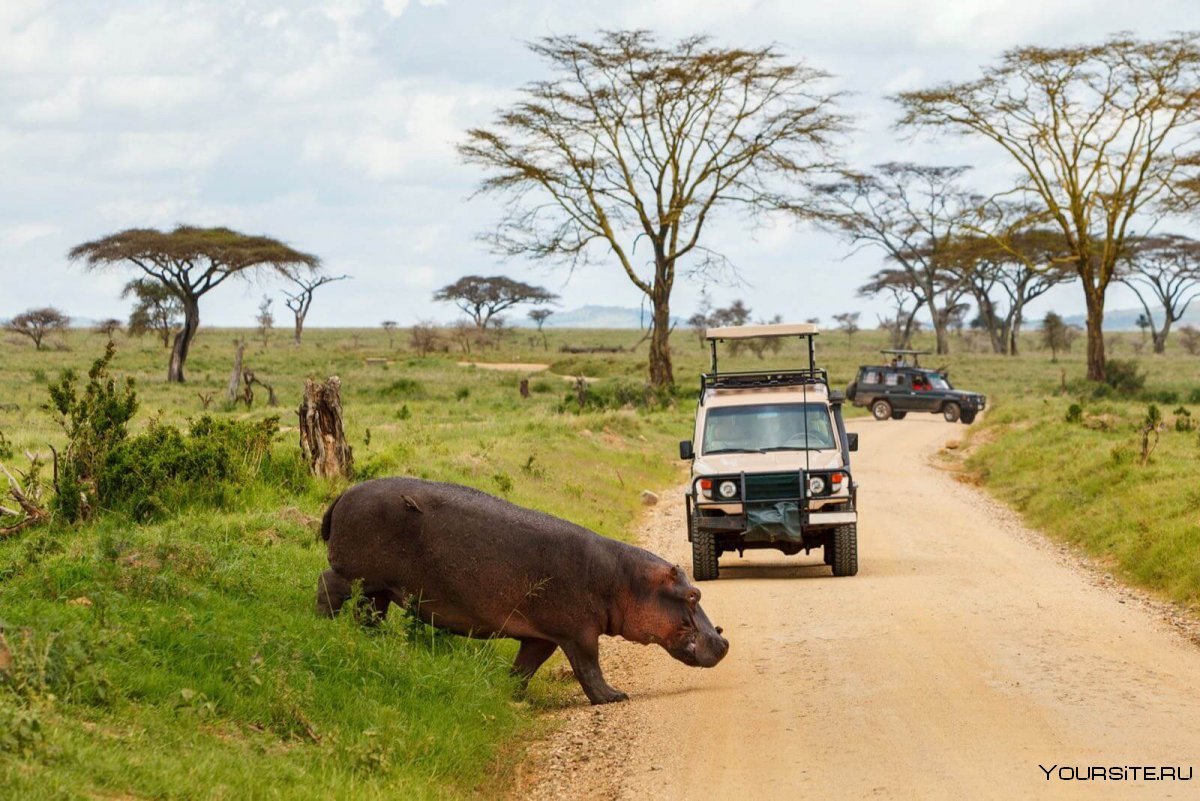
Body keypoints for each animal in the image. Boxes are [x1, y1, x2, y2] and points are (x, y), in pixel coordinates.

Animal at [314, 479, 724, 705]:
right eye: (693, 596)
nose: (724, 641)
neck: (626, 580)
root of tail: (342, 494)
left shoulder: (542, 636)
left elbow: (525, 667)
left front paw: (509, 696)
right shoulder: (578, 633)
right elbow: (589, 666)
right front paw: (614, 697)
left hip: (378, 587)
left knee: (368, 612)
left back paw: (370, 640)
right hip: (354, 573)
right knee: (327, 585)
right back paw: (321, 624)